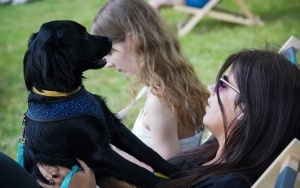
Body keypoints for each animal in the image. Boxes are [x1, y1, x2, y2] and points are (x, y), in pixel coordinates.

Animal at [22, 19, 177, 187]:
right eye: (84, 36)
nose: (110, 39)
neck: (63, 97)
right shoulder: (98, 154)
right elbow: (138, 171)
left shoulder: (113, 126)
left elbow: (148, 152)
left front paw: (179, 170)